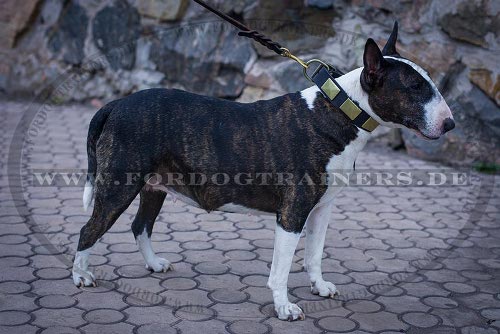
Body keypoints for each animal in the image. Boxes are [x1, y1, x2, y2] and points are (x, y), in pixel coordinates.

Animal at [73, 23, 454, 320]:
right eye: (415, 88)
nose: (450, 124)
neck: (340, 110)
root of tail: (115, 104)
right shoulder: (292, 213)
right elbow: (281, 269)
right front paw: (285, 308)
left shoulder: (323, 208)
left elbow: (314, 255)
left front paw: (319, 286)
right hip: (119, 187)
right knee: (89, 229)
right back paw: (81, 276)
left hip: (154, 185)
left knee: (141, 225)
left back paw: (153, 264)